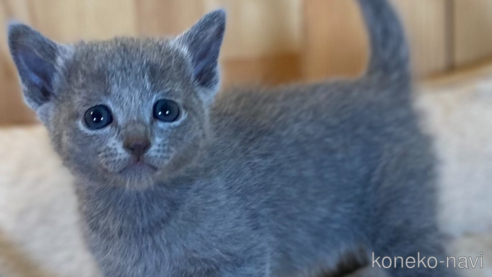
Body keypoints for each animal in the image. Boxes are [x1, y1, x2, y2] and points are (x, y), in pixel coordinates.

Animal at [6, 0, 454, 276]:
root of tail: (379, 84)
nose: (137, 142)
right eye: (96, 117)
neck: (140, 215)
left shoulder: (241, 256)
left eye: (165, 110)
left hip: (401, 218)